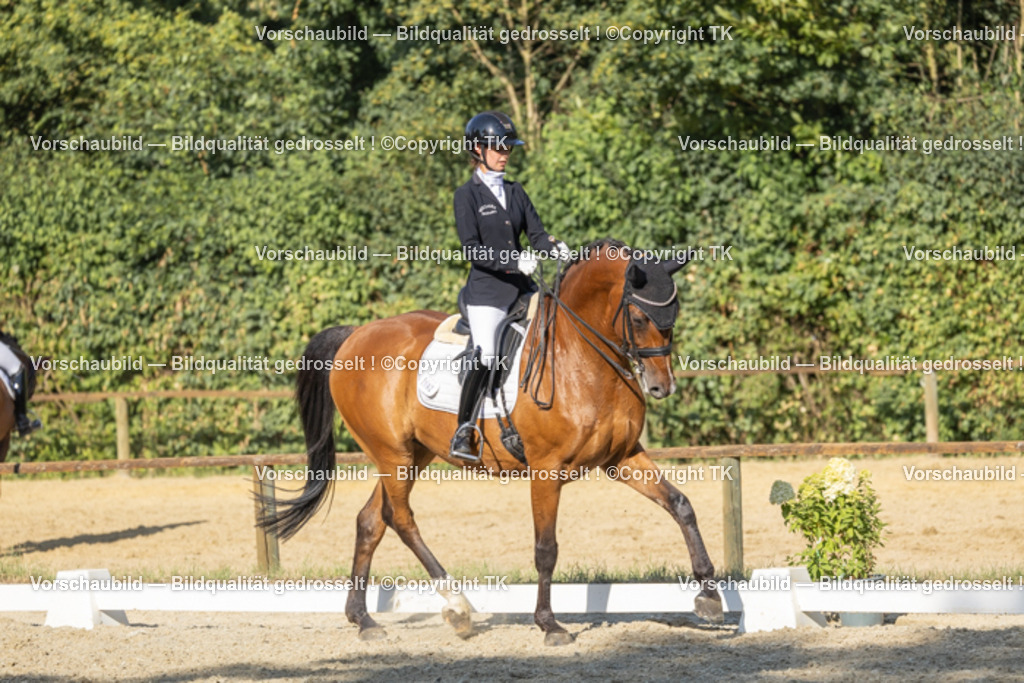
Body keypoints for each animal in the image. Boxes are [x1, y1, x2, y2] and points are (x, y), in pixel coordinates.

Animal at [261, 238, 723, 645]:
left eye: (674, 315)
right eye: (641, 318)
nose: (662, 387)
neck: (581, 359)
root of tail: (356, 334)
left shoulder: (622, 458)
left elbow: (680, 504)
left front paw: (709, 595)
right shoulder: (546, 470)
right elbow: (546, 548)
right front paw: (549, 625)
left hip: (411, 453)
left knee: (372, 520)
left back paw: (364, 620)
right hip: (392, 453)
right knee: (401, 518)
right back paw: (457, 606)